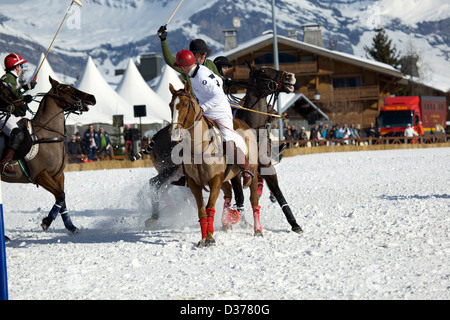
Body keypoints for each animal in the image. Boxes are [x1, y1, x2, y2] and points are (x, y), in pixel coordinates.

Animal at [0, 75, 96, 235]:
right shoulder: (40, 174)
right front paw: (46, 222)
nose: (92, 97)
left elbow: (61, 197)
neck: (49, 135)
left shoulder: (58, 174)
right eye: (67, 88)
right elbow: (60, 195)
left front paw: (70, 226)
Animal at [169, 82, 260, 248]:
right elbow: (201, 211)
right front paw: (203, 238)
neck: (199, 147)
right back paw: (226, 224)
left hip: (253, 172)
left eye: (185, 104)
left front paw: (210, 238)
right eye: (170, 105)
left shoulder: (215, 180)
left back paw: (258, 230)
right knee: (229, 192)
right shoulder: (194, 183)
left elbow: (209, 208)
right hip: (229, 176)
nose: (174, 134)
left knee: (254, 199)